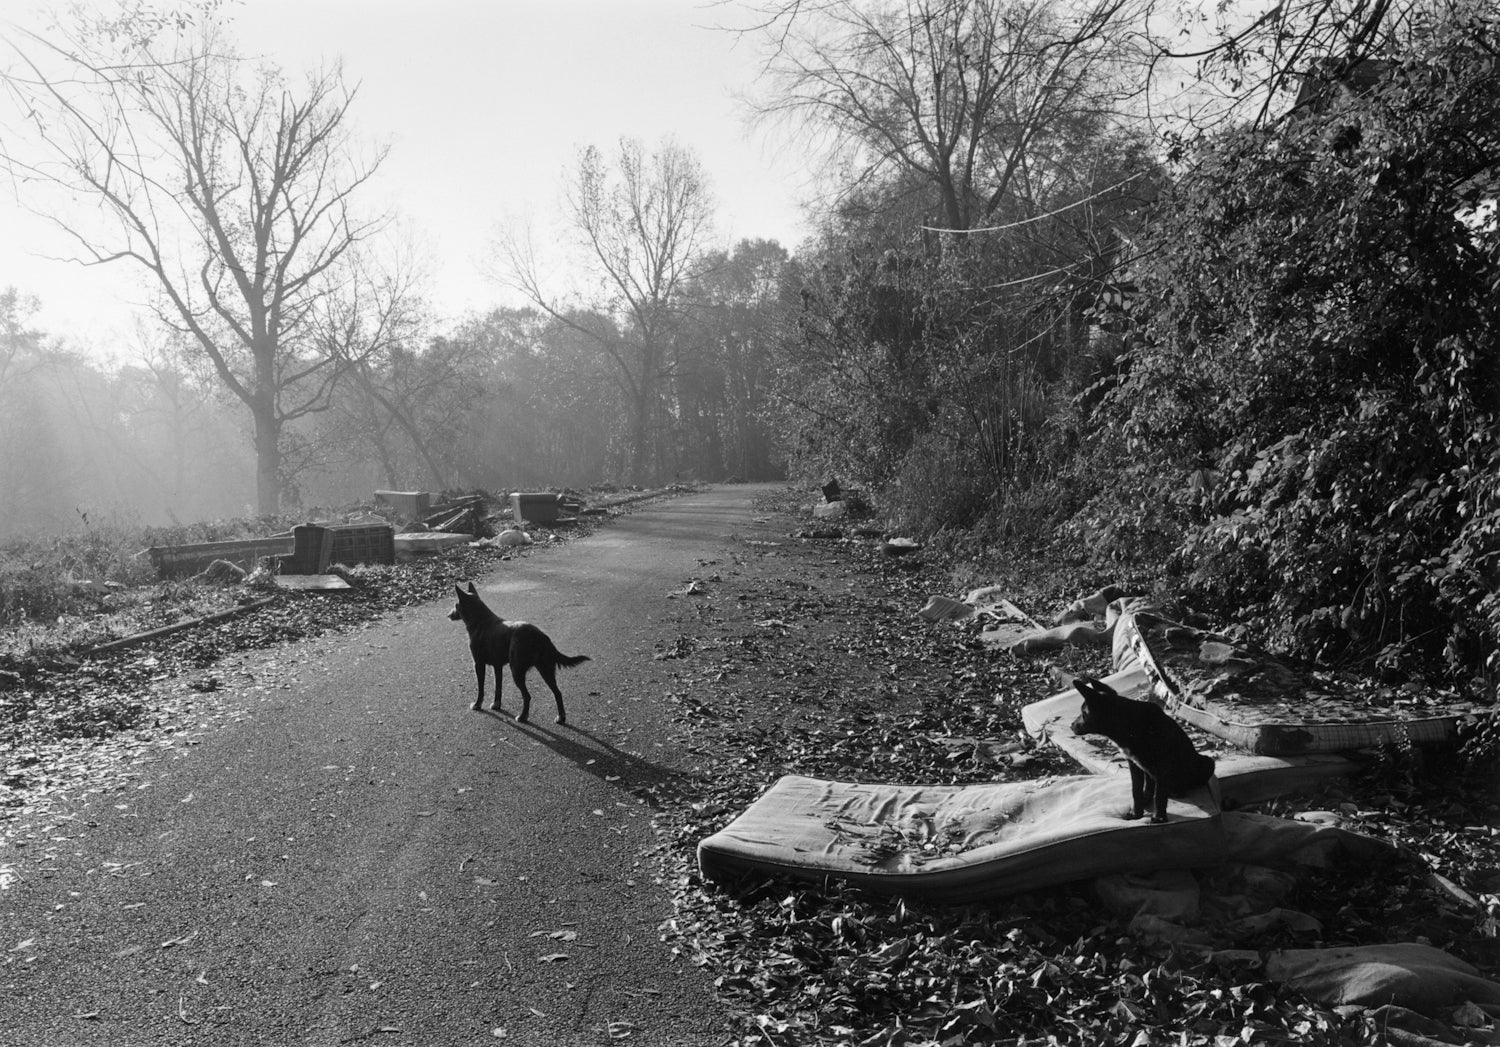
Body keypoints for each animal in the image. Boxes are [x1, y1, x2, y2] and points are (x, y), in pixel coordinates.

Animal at [447, 582, 588, 723]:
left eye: (455, 604)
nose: (448, 615)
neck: (480, 621)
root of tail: (540, 636)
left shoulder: (478, 664)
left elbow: (481, 688)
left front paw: (477, 705)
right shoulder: (497, 666)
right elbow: (498, 687)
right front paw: (496, 705)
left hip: (517, 670)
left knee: (527, 696)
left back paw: (522, 716)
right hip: (545, 669)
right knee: (557, 692)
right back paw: (560, 717)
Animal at [1068, 678, 1218, 822]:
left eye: (1083, 713)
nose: (1071, 726)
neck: (1128, 725)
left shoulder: (1162, 764)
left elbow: (1159, 795)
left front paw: (1159, 817)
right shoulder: (1134, 764)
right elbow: (1136, 790)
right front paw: (1136, 813)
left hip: (1208, 762)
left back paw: (1177, 791)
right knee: (1150, 785)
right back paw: (1147, 798)